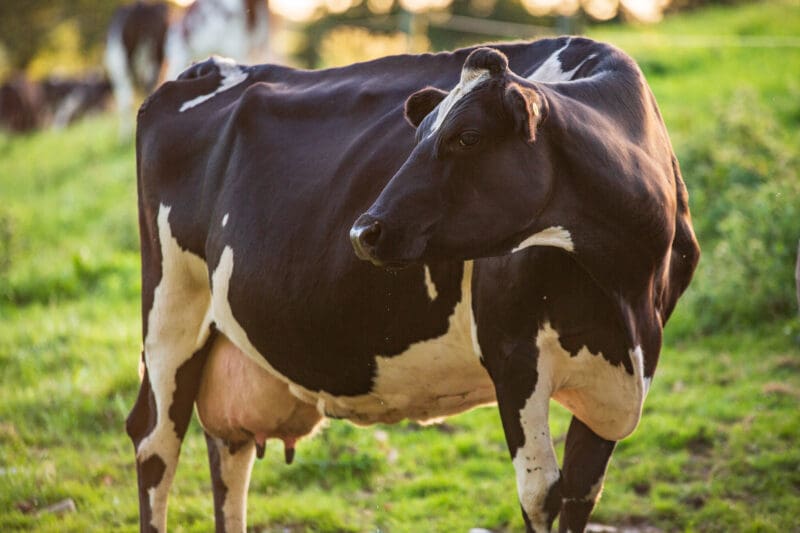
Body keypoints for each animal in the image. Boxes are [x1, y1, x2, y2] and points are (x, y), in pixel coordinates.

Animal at [133, 35, 700, 528]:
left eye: (467, 137)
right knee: (154, 443)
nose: (362, 230)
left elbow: (581, 493)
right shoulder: (515, 356)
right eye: (419, 134)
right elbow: (541, 495)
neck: (627, 293)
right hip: (170, 315)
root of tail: (203, 68)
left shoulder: (621, 376)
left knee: (228, 450)